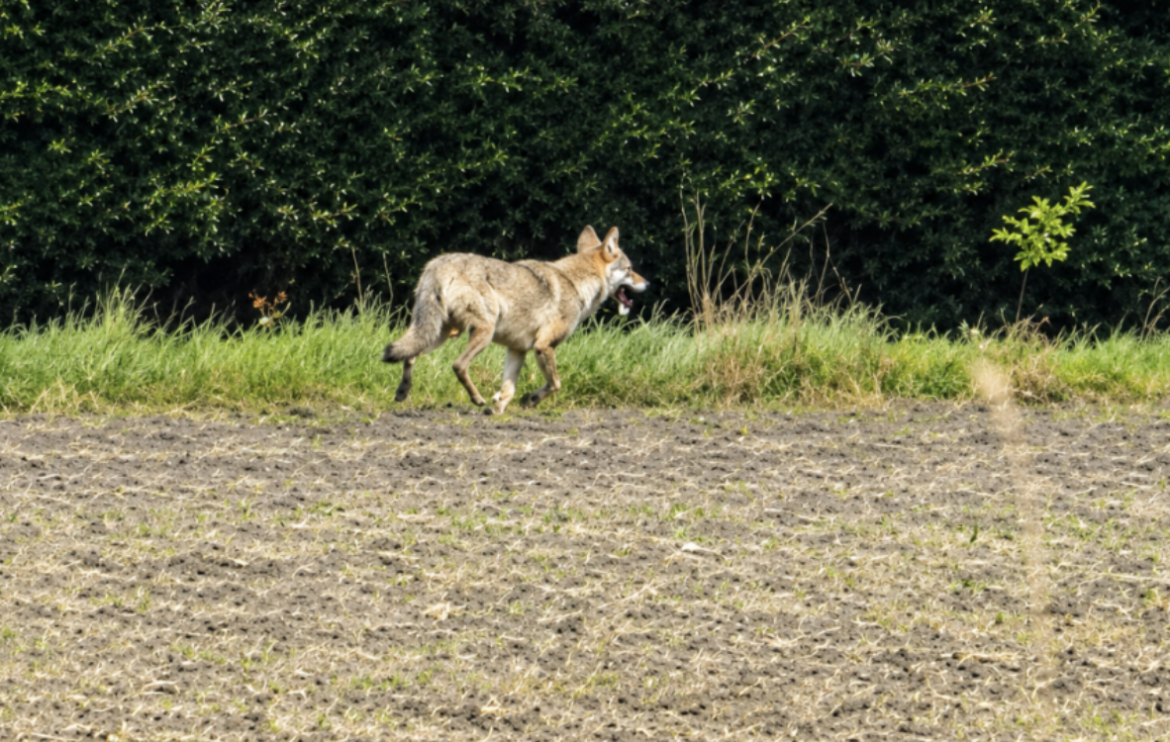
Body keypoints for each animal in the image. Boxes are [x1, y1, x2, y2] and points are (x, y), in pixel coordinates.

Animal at [382, 226, 648, 415]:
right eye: (630, 269)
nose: (648, 283)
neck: (575, 284)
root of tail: (438, 264)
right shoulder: (543, 346)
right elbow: (555, 384)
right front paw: (530, 400)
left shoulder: (517, 350)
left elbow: (508, 390)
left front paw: (497, 410)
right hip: (481, 333)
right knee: (457, 365)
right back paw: (476, 399)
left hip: (438, 334)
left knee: (409, 356)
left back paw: (402, 393)